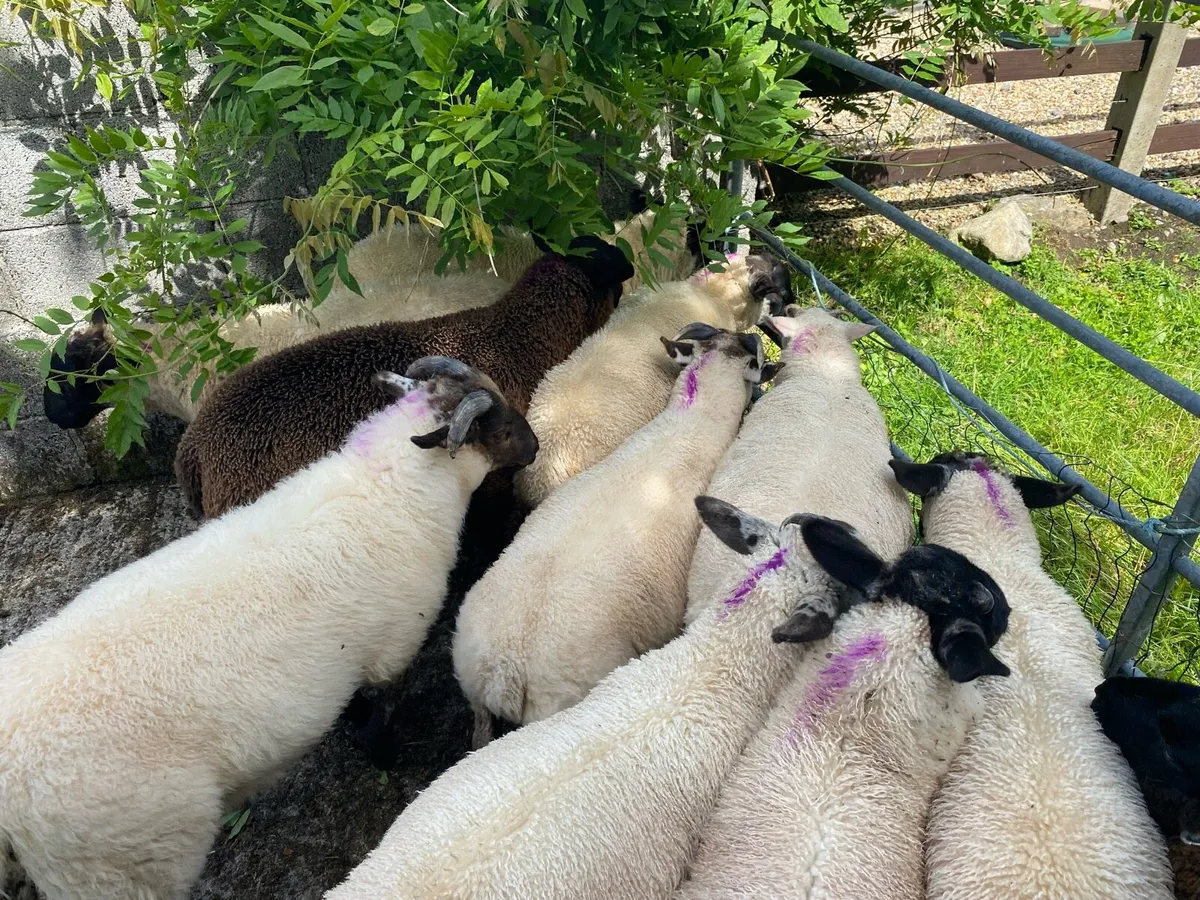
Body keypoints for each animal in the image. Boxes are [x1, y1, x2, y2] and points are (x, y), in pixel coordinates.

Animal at [0, 357, 538, 900]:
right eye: (502, 429)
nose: (535, 447)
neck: (386, 487)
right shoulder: (396, 645)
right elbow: (382, 714)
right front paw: (386, 753)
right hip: (125, 866)